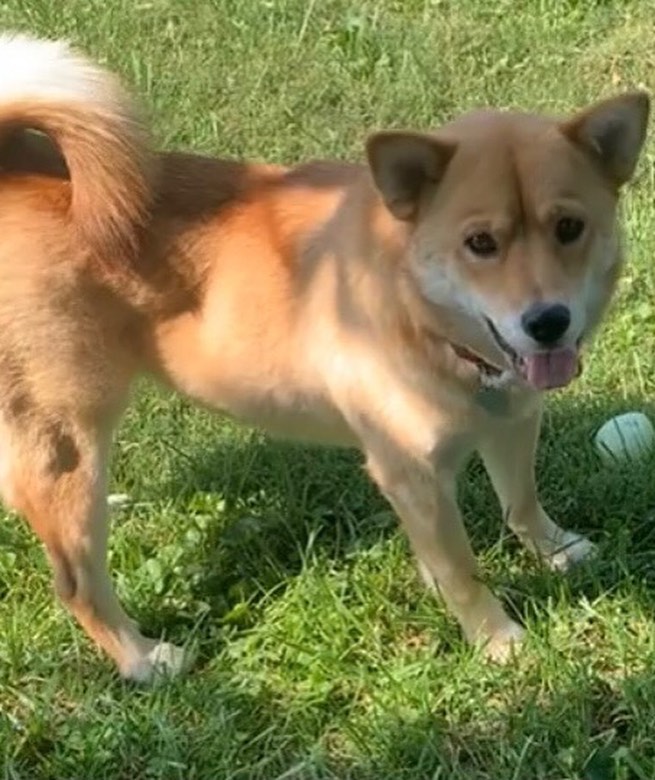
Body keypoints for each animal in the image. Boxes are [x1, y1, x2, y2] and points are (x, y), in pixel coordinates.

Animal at [0, 33, 648, 680]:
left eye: (569, 226)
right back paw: (141, 657)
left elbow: (521, 501)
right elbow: (463, 570)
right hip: (70, 441)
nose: (548, 322)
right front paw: (496, 637)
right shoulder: (411, 472)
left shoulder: (512, 421)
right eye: (480, 243)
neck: (424, 321)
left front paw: (554, 548)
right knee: (76, 579)